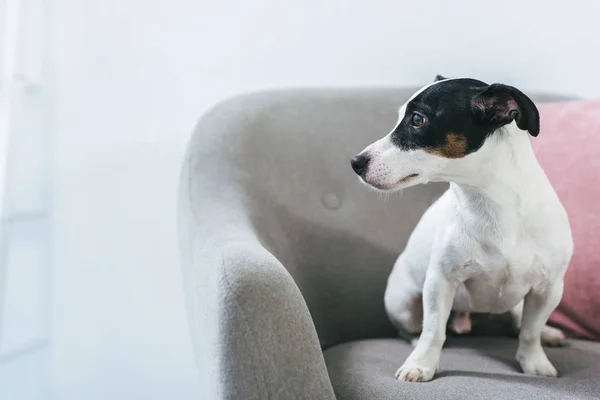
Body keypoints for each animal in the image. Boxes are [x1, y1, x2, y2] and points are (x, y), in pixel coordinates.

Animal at [352, 76, 572, 382]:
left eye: (417, 120)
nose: (356, 163)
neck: (491, 203)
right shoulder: (440, 282)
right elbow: (433, 331)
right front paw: (421, 364)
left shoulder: (548, 289)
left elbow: (530, 332)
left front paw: (534, 362)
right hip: (402, 304)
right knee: (414, 329)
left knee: (520, 318)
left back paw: (548, 333)